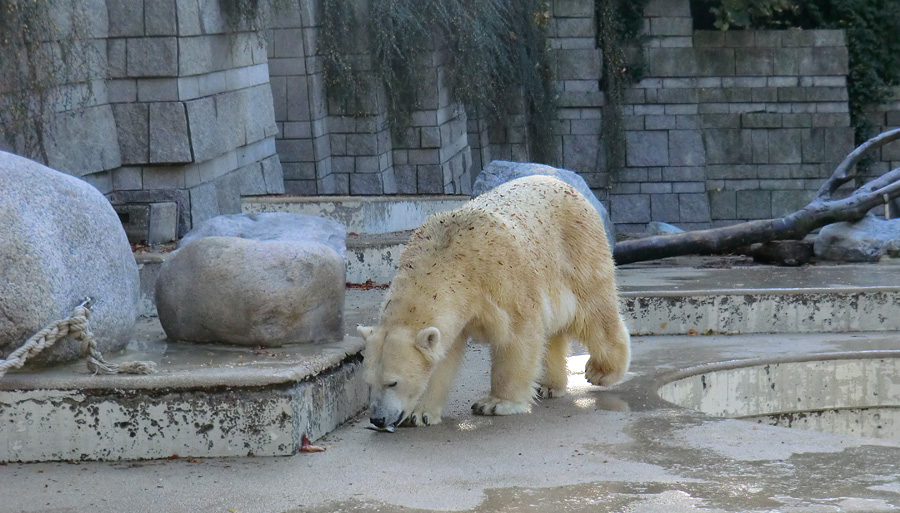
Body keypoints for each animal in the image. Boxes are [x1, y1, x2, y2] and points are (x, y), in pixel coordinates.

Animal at [356, 175, 628, 428]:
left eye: (393, 382)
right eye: (368, 383)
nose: (378, 419)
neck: (448, 257)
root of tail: (564, 184)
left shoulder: (501, 282)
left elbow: (517, 336)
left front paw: (495, 403)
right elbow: (442, 357)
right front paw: (419, 414)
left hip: (576, 253)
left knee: (594, 311)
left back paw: (602, 371)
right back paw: (549, 385)